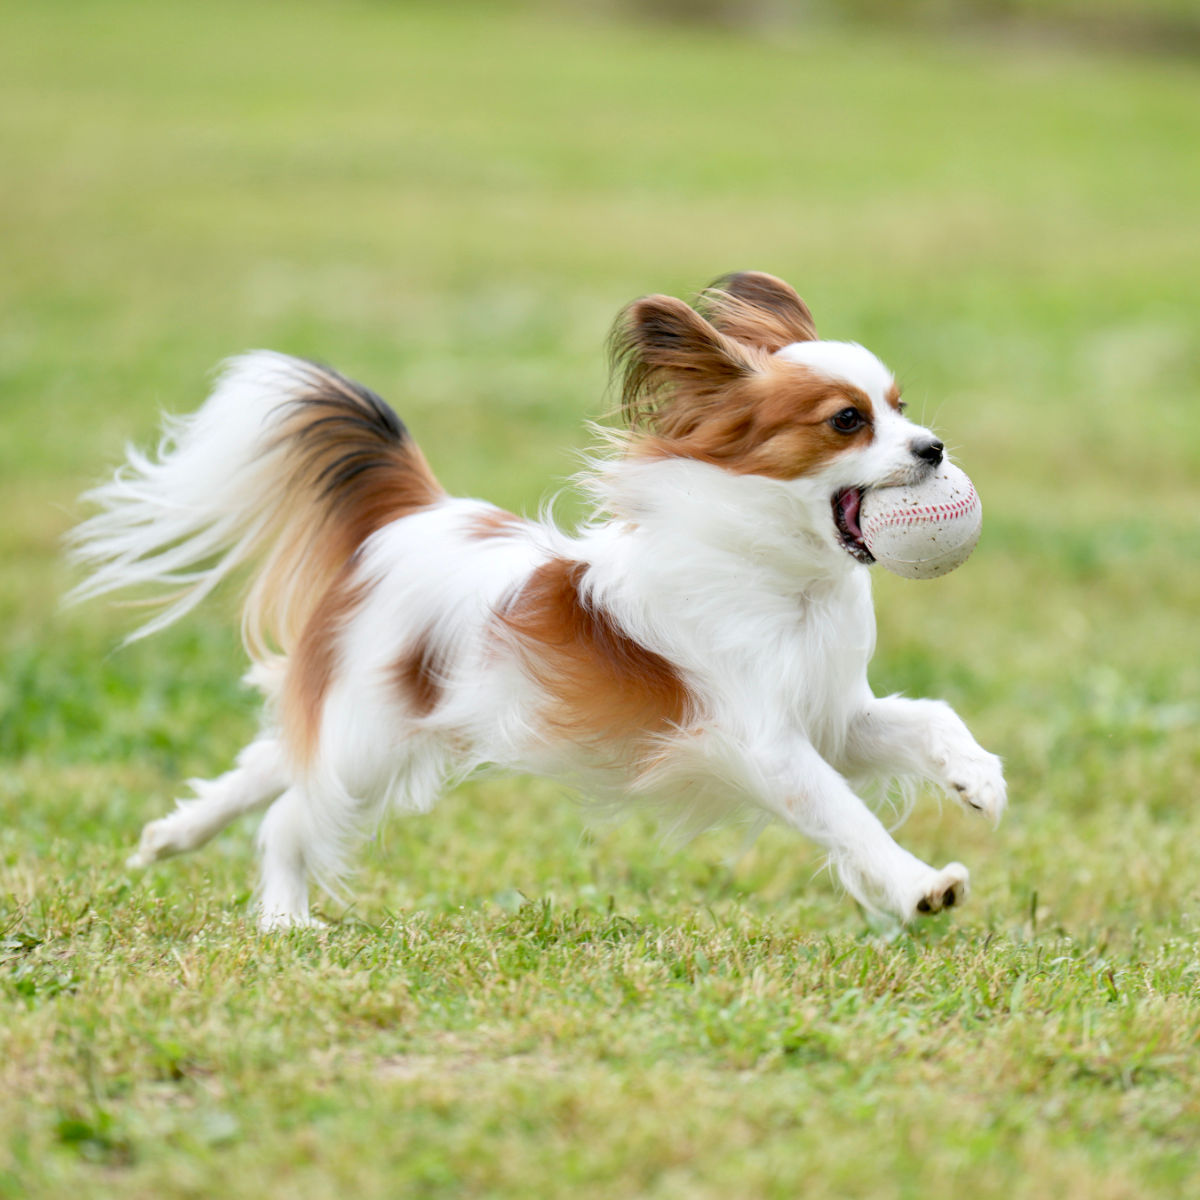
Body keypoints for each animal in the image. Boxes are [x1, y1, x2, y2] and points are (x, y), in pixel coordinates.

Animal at [65, 272, 1003, 926]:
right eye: (849, 421)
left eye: (901, 407)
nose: (932, 447)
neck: (784, 580)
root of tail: (417, 514)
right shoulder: (765, 743)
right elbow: (848, 818)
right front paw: (919, 886)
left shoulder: (834, 717)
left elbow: (930, 717)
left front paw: (978, 780)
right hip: (369, 744)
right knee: (293, 815)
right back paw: (283, 921)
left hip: (373, 721)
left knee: (274, 760)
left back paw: (176, 832)